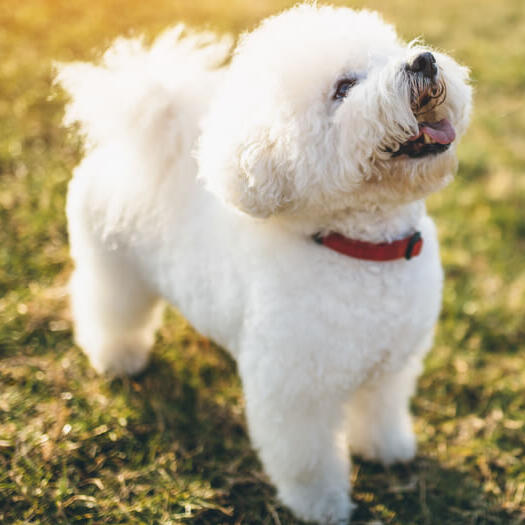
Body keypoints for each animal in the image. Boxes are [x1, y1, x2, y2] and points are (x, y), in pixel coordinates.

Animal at [58, 5, 470, 524]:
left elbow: (380, 412)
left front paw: (387, 450)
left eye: (391, 52)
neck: (360, 249)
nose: (423, 61)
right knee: (108, 309)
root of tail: (122, 147)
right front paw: (322, 505)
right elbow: (308, 459)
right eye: (343, 87)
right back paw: (117, 359)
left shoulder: (390, 365)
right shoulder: (296, 391)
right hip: (114, 267)